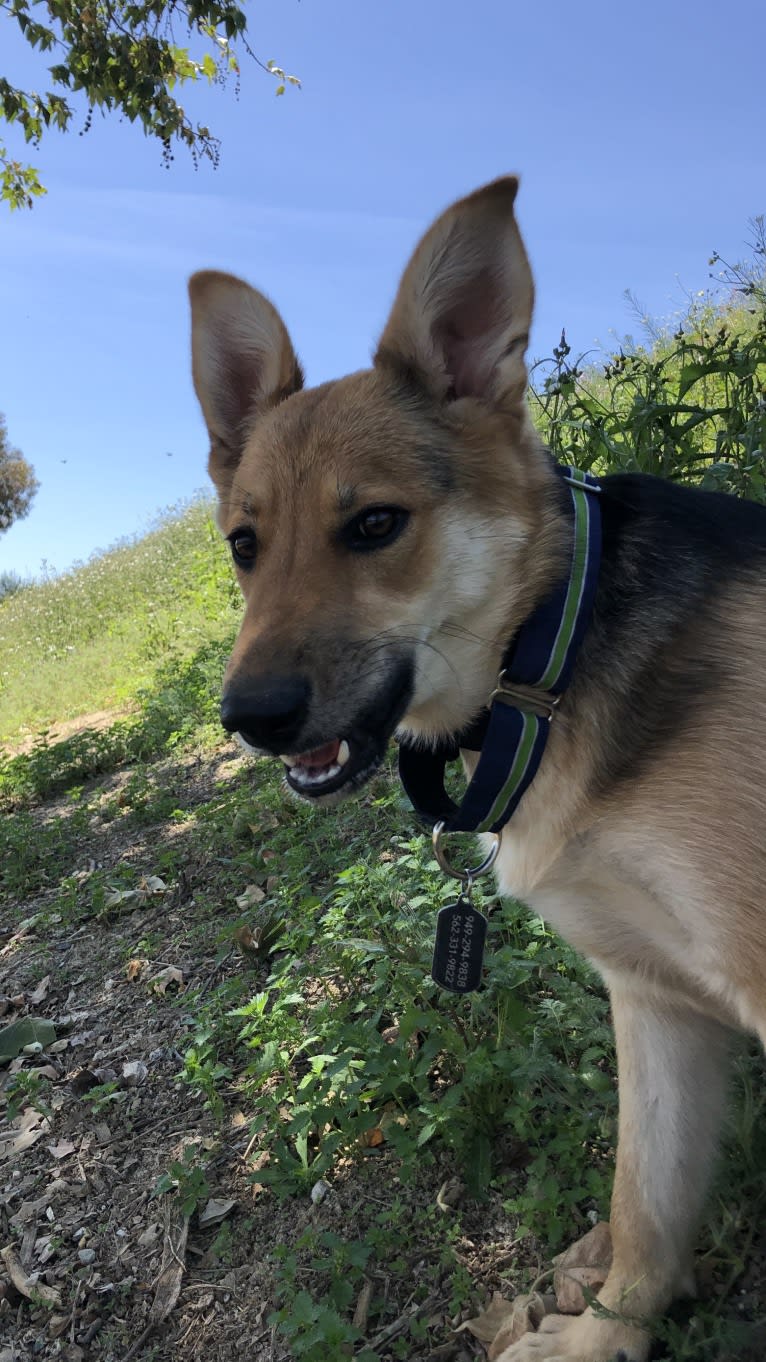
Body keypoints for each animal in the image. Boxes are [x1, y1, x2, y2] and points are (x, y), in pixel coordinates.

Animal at [189, 175, 763, 1356]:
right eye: (243, 547)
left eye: (374, 525)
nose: (249, 719)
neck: (547, 658)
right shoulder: (655, 997)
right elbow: (646, 1208)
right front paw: (602, 1337)